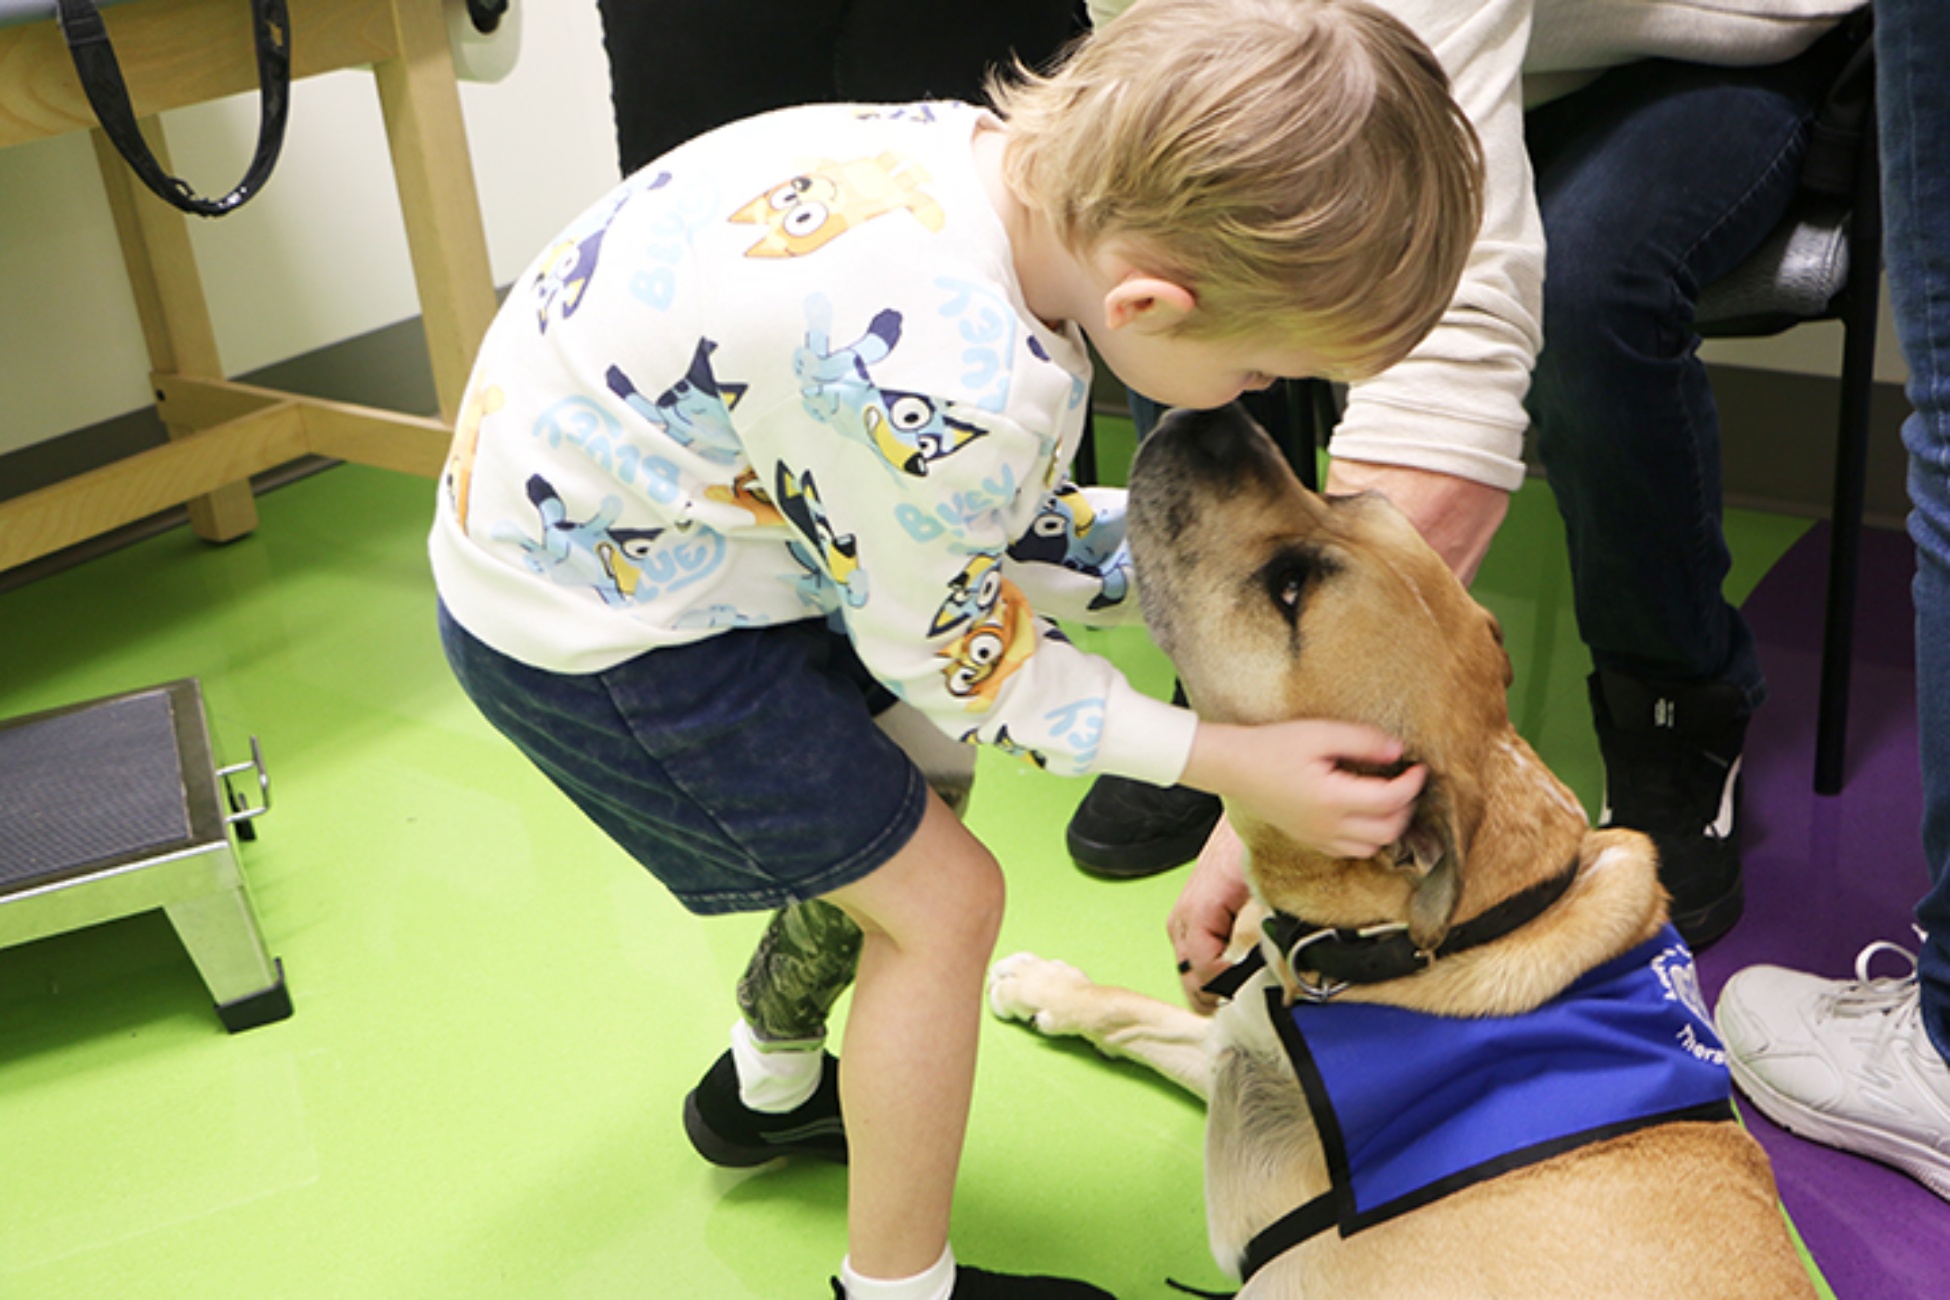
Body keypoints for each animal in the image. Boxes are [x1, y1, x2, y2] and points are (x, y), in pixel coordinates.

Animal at [990, 407, 1809, 1300]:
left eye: (1290, 591)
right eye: (1349, 495)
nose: (1216, 416)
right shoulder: (1243, 1043)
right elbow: (1134, 1011)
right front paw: (1049, 987)